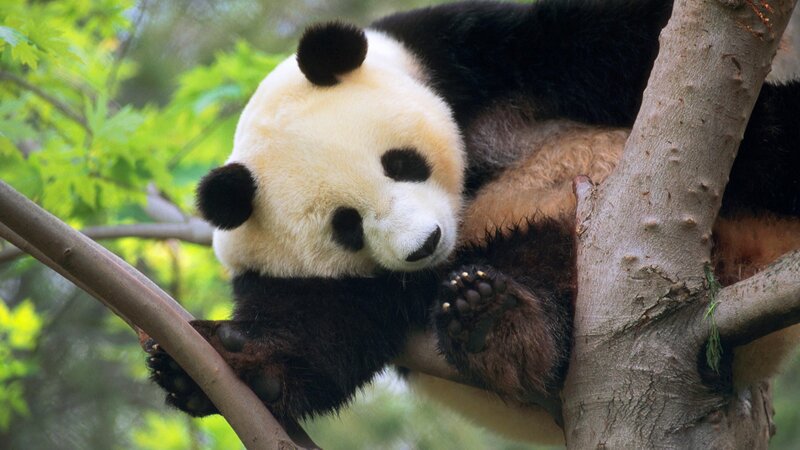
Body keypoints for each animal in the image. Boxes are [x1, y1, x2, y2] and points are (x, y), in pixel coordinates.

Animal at [147, 0, 800, 445]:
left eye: (400, 163)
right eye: (347, 226)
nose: (425, 244)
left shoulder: (468, 53)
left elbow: (605, 38)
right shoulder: (307, 276)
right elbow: (320, 329)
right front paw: (216, 365)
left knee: (764, 140)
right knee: (540, 264)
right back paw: (496, 322)